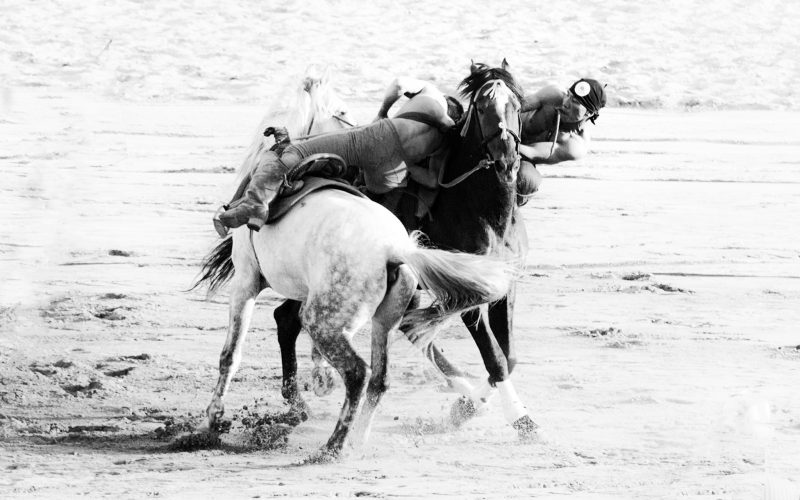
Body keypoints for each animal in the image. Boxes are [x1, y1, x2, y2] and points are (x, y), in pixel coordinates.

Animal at [276, 61, 538, 437]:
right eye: (482, 108)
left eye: (516, 105)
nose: (505, 160)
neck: (482, 210)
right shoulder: (468, 291)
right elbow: (495, 357)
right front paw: (518, 418)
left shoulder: (504, 285)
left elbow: (508, 356)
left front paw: (471, 406)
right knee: (287, 319)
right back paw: (297, 403)